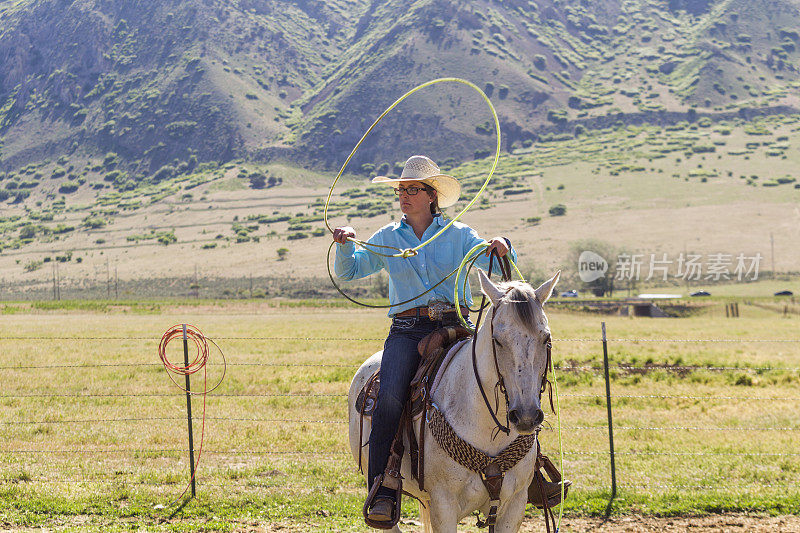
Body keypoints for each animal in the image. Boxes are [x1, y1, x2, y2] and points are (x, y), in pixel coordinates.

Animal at [346, 270, 560, 532]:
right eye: (498, 340)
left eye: (546, 338)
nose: (526, 416)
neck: (486, 427)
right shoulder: (443, 504)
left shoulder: (514, 504)